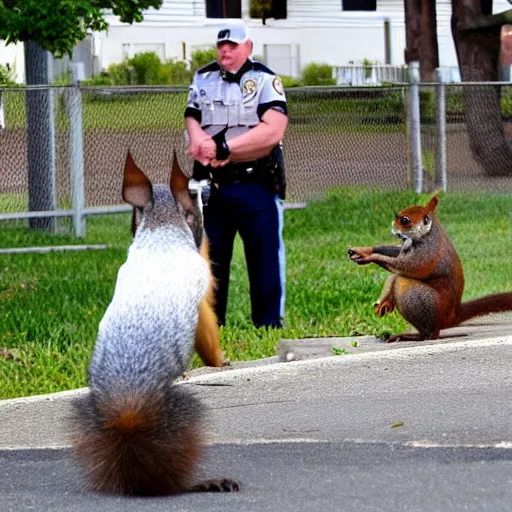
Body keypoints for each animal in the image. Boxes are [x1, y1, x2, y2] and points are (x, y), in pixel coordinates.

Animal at [348, 194, 512, 342]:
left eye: (405, 220)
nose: (393, 229)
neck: (426, 234)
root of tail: (450, 318)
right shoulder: (406, 246)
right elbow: (397, 256)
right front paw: (363, 250)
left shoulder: (428, 253)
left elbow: (407, 266)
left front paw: (370, 257)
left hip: (425, 303)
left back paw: (414, 335)